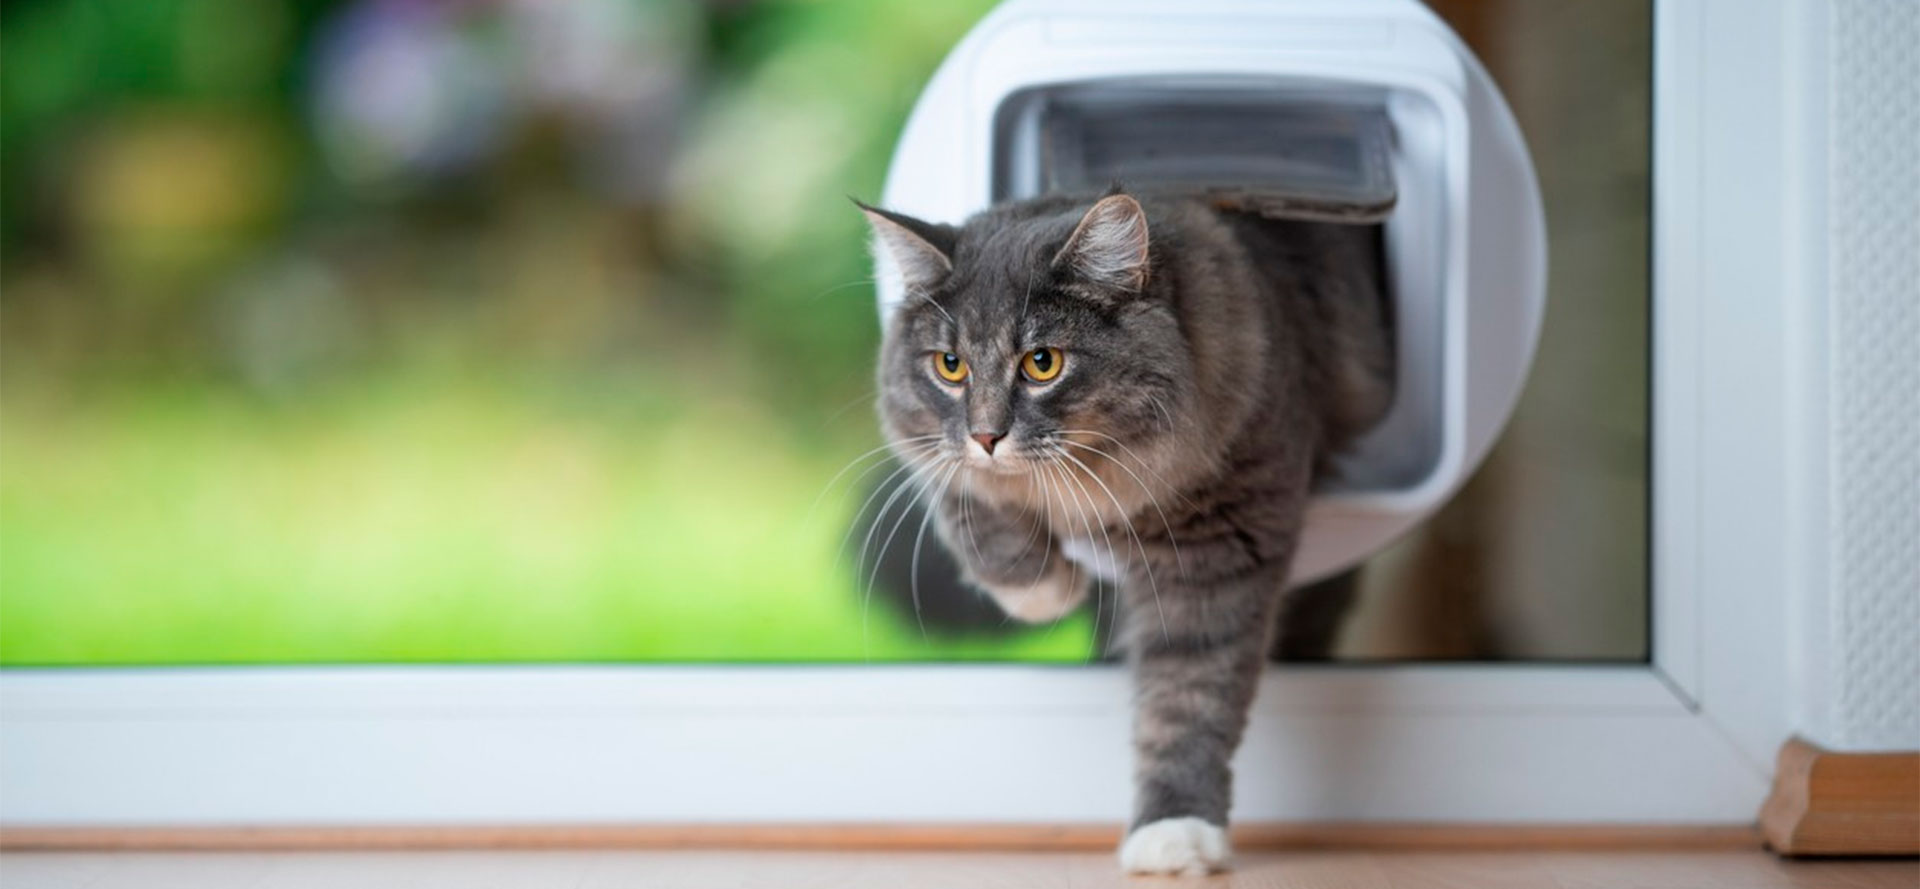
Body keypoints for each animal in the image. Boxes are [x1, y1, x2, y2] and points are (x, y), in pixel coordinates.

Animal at [864, 188, 1390, 875]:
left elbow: (1186, 702)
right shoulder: (936, 460)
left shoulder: (1216, 556)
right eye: (950, 366)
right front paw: (1045, 590)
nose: (986, 435)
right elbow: (975, 508)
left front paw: (1175, 831)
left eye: (1042, 363)